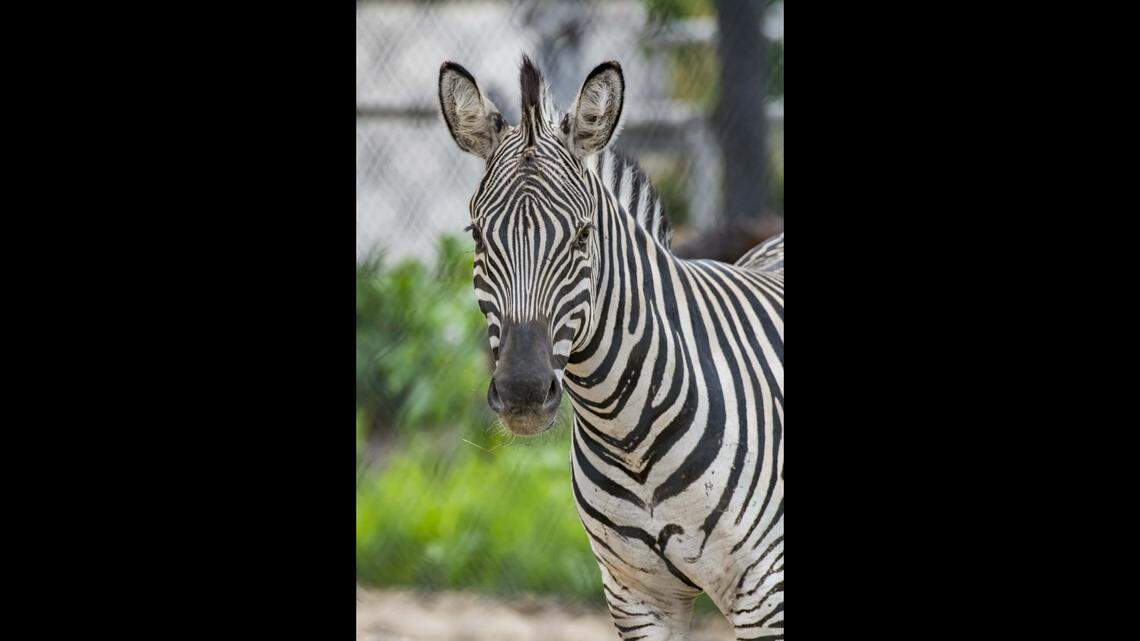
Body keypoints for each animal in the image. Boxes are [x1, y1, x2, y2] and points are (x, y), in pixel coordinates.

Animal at [438, 56, 783, 640]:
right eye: (478, 236)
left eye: (582, 235)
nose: (523, 391)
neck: (629, 432)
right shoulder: (636, 597)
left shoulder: (765, 594)